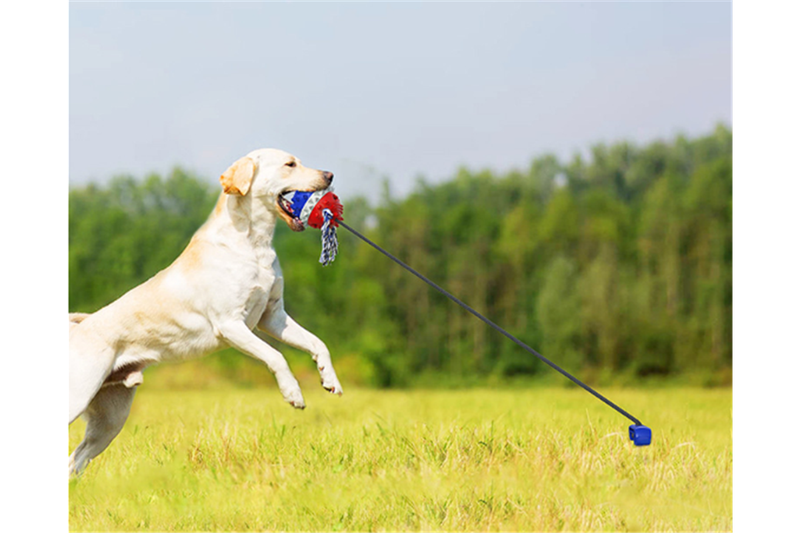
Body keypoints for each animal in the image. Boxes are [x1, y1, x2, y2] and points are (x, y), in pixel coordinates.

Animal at [70, 147, 342, 474]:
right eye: (290, 164)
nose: (329, 175)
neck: (254, 242)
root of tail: (76, 329)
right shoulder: (231, 324)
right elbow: (276, 356)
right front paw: (294, 394)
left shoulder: (273, 317)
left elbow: (318, 343)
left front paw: (330, 380)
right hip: (79, 395)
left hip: (110, 420)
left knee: (75, 459)